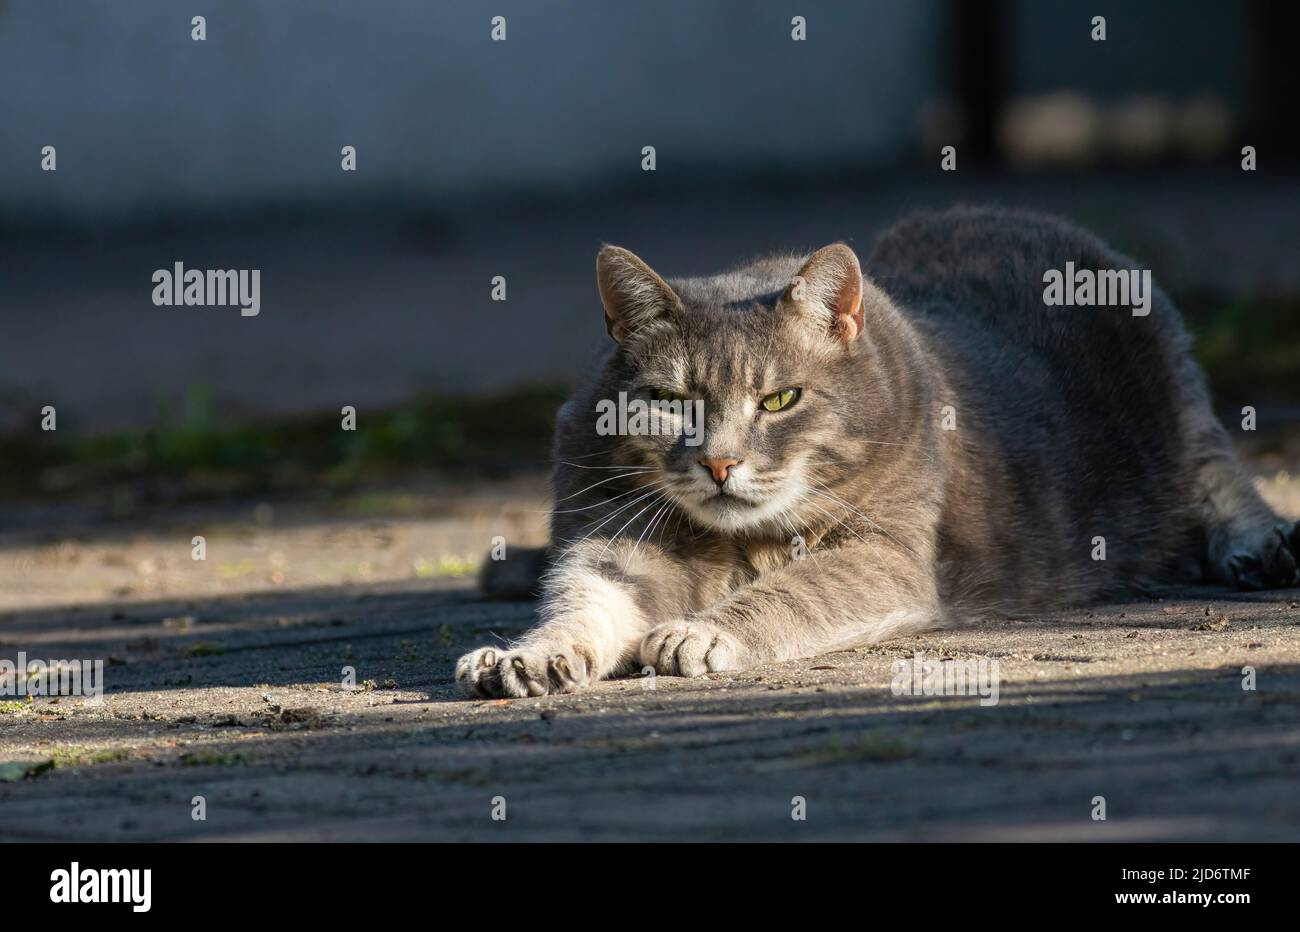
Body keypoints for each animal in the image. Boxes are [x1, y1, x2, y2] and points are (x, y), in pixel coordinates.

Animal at [452, 205, 1294, 696]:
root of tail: (1008, 210)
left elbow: (795, 590)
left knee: (1219, 472)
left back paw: (1258, 547)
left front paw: (704, 630)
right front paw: (527, 654)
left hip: (1178, 382)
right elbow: (581, 599)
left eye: (779, 400)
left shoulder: (886, 551)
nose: (720, 463)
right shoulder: (609, 536)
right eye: (672, 402)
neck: (738, 541)